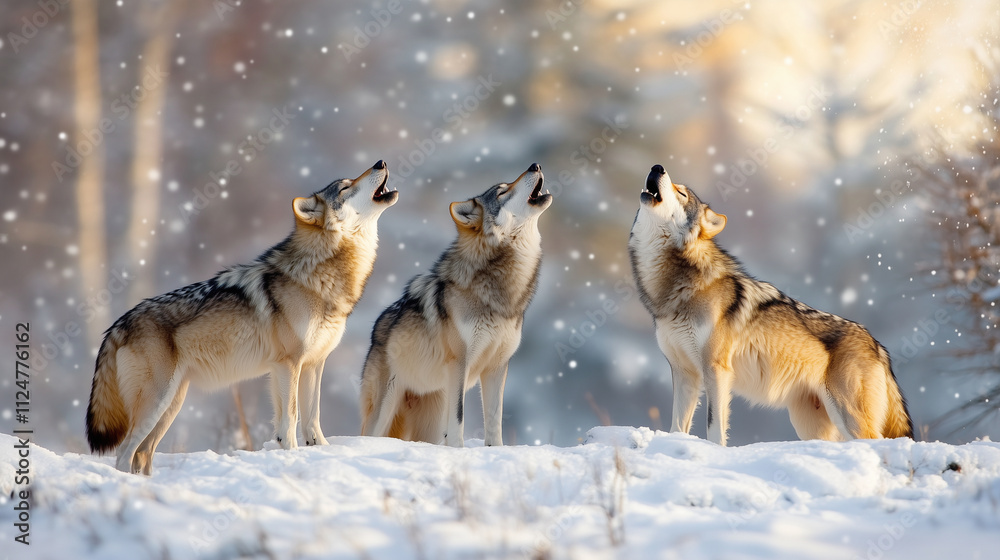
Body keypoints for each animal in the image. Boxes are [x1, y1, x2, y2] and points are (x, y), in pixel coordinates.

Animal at [86, 160, 398, 474]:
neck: (319, 275)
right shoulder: (288, 364)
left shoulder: (312, 364)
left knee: (143, 453)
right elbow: (291, 418)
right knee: (124, 452)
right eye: (345, 187)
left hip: (171, 405)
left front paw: (318, 450)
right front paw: (293, 455)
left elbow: (312, 418)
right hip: (157, 403)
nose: (381, 162)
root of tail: (117, 325)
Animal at [359, 163, 552, 447]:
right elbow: (459, 417)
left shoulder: (497, 368)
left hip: (430, 422)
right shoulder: (459, 363)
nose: (535, 165)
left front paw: (495, 450)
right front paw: (458, 450)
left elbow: (494, 421)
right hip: (383, 410)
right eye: (502, 191)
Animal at [628, 164, 912, 446]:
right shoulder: (684, 372)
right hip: (810, 426)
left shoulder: (716, 370)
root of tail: (878, 346)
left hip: (849, 417)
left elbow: (714, 426)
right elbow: (677, 426)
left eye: (682, 193)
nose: (657, 167)